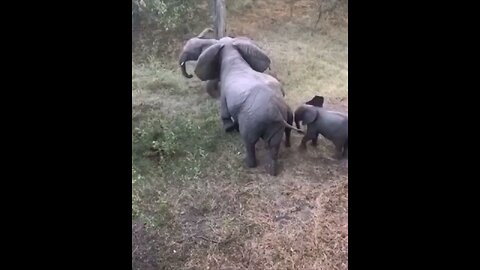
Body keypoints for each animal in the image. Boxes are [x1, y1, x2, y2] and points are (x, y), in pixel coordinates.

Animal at [178, 35, 302, 175]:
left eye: (195, 50)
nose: (189, 74)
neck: (229, 48)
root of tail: (275, 113)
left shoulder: (224, 92)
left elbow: (224, 110)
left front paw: (228, 130)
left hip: (251, 121)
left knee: (249, 142)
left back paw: (249, 164)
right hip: (274, 124)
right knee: (274, 145)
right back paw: (272, 171)